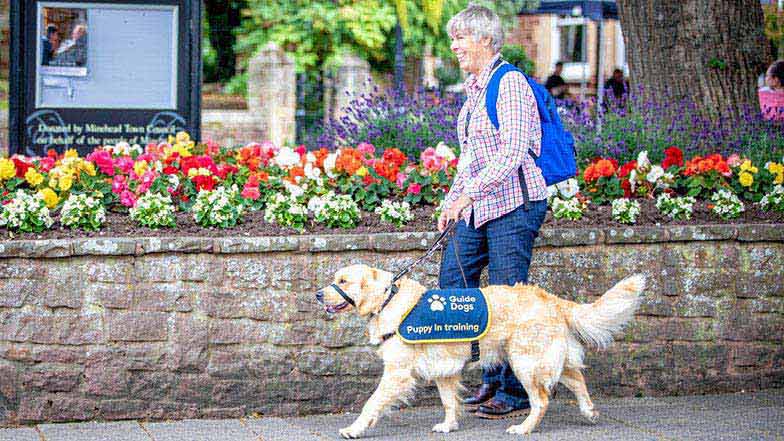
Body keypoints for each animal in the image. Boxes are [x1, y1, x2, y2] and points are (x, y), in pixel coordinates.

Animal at [316, 264, 645, 438]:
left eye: (343, 281)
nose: (318, 294)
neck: (389, 301)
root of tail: (551, 298)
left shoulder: (397, 373)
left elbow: (372, 403)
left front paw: (354, 428)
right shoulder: (444, 370)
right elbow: (449, 402)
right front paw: (448, 425)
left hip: (525, 361)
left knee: (541, 400)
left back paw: (524, 428)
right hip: (544, 357)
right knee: (576, 378)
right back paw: (589, 412)